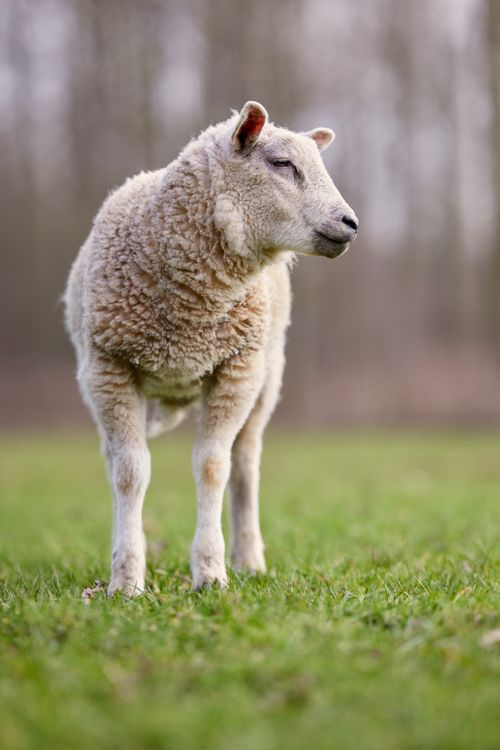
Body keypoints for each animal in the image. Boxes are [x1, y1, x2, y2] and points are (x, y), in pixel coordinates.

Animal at [64, 101, 359, 595]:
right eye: (282, 163)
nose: (350, 224)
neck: (190, 311)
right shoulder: (110, 366)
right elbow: (129, 472)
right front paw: (126, 580)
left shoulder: (237, 368)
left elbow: (212, 467)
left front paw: (210, 572)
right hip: (96, 381)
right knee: (115, 458)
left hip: (267, 376)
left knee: (245, 464)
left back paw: (249, 559)